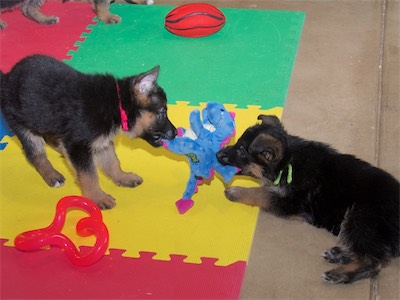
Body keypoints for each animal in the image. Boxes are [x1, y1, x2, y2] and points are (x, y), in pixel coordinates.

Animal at [0, 54, 177, 209]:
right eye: (162, 113)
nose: (175, 133)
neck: (117, 104)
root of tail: (7, 78)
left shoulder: (101, 142)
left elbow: (112, 162)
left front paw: (122, 177)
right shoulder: (79, 144)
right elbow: (89, 175)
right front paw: (98, 197)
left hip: (43, 121)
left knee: (51, 138)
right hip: (23, 125)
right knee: (36, 155)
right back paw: (52, 175)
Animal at [217, 114, 398, 284]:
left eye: (241, 151)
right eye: (237, 143)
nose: (217, 154)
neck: (287, 162)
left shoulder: (291, 204)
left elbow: (261, 193)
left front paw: (235, 191)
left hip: (360, 217)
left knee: (374, 263)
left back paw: (339, 273)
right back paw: (338, 254)